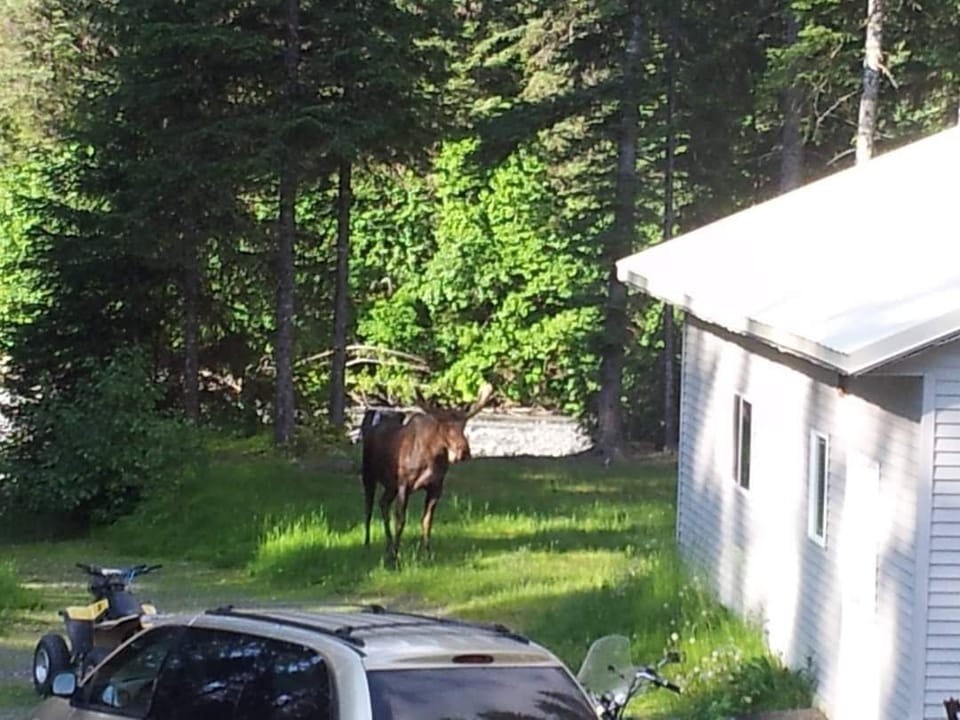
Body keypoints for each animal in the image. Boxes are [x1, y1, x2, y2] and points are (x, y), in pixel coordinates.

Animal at [360, 383, 494, 566]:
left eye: (464, 426)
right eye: (445, 428)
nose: (464, 452)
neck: (432, 457)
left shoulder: (436, 487)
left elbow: (427, 521)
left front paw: (427, 554)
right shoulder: (404, 484)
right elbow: (400, 520)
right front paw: (396, 558)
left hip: (390, 485)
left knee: (382, 503)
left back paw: (387, 546)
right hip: (369, 474)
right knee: (368, 508)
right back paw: (368, 544)